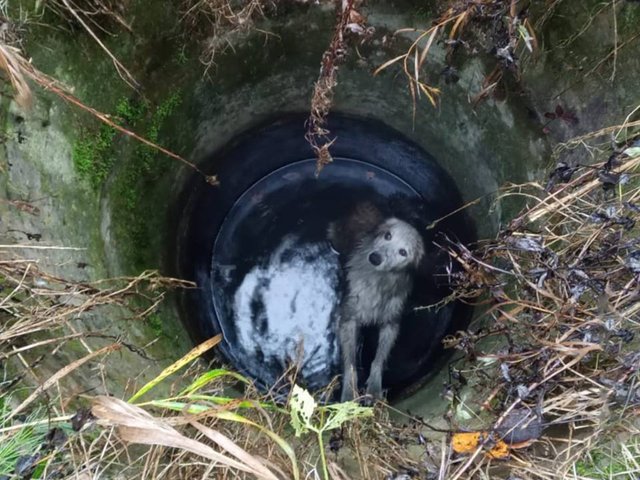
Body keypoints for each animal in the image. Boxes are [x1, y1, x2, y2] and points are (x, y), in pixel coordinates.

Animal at [330, 202, 424, 402]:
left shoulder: (391, 323)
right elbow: (350, 363)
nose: (375, 258)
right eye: (388, 235)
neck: (376, 283)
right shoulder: (348, 319)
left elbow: (379, 359)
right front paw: (349, 391)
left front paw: (373, 387)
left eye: (403, 252)